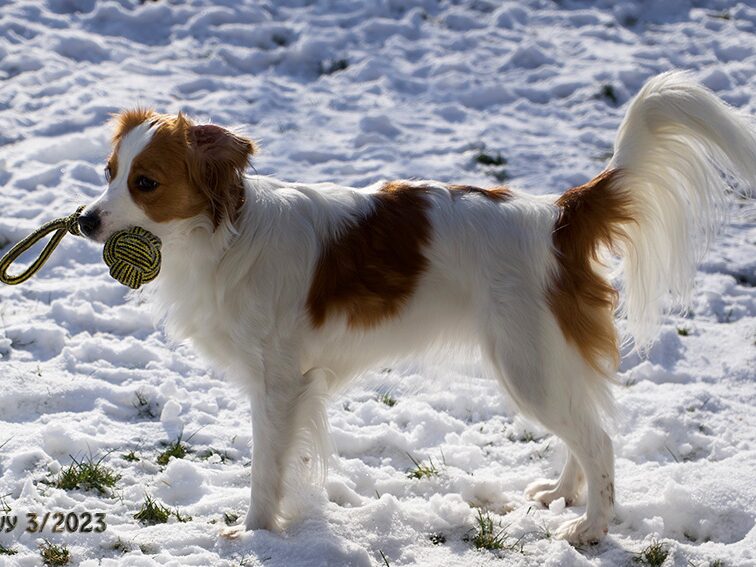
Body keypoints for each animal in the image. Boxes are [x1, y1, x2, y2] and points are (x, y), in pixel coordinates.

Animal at [78, 72, 756, 544]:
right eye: (109, 172)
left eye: (145, 184)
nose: (84, 220)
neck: (226, 235)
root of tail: (556, 215)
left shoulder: (279, 385)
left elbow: (267, 467)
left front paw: (254, 532)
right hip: (541, 358)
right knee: (584, 428)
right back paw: (562, 494)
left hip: (525, 364)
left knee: (600, 439)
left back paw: (591, 528)